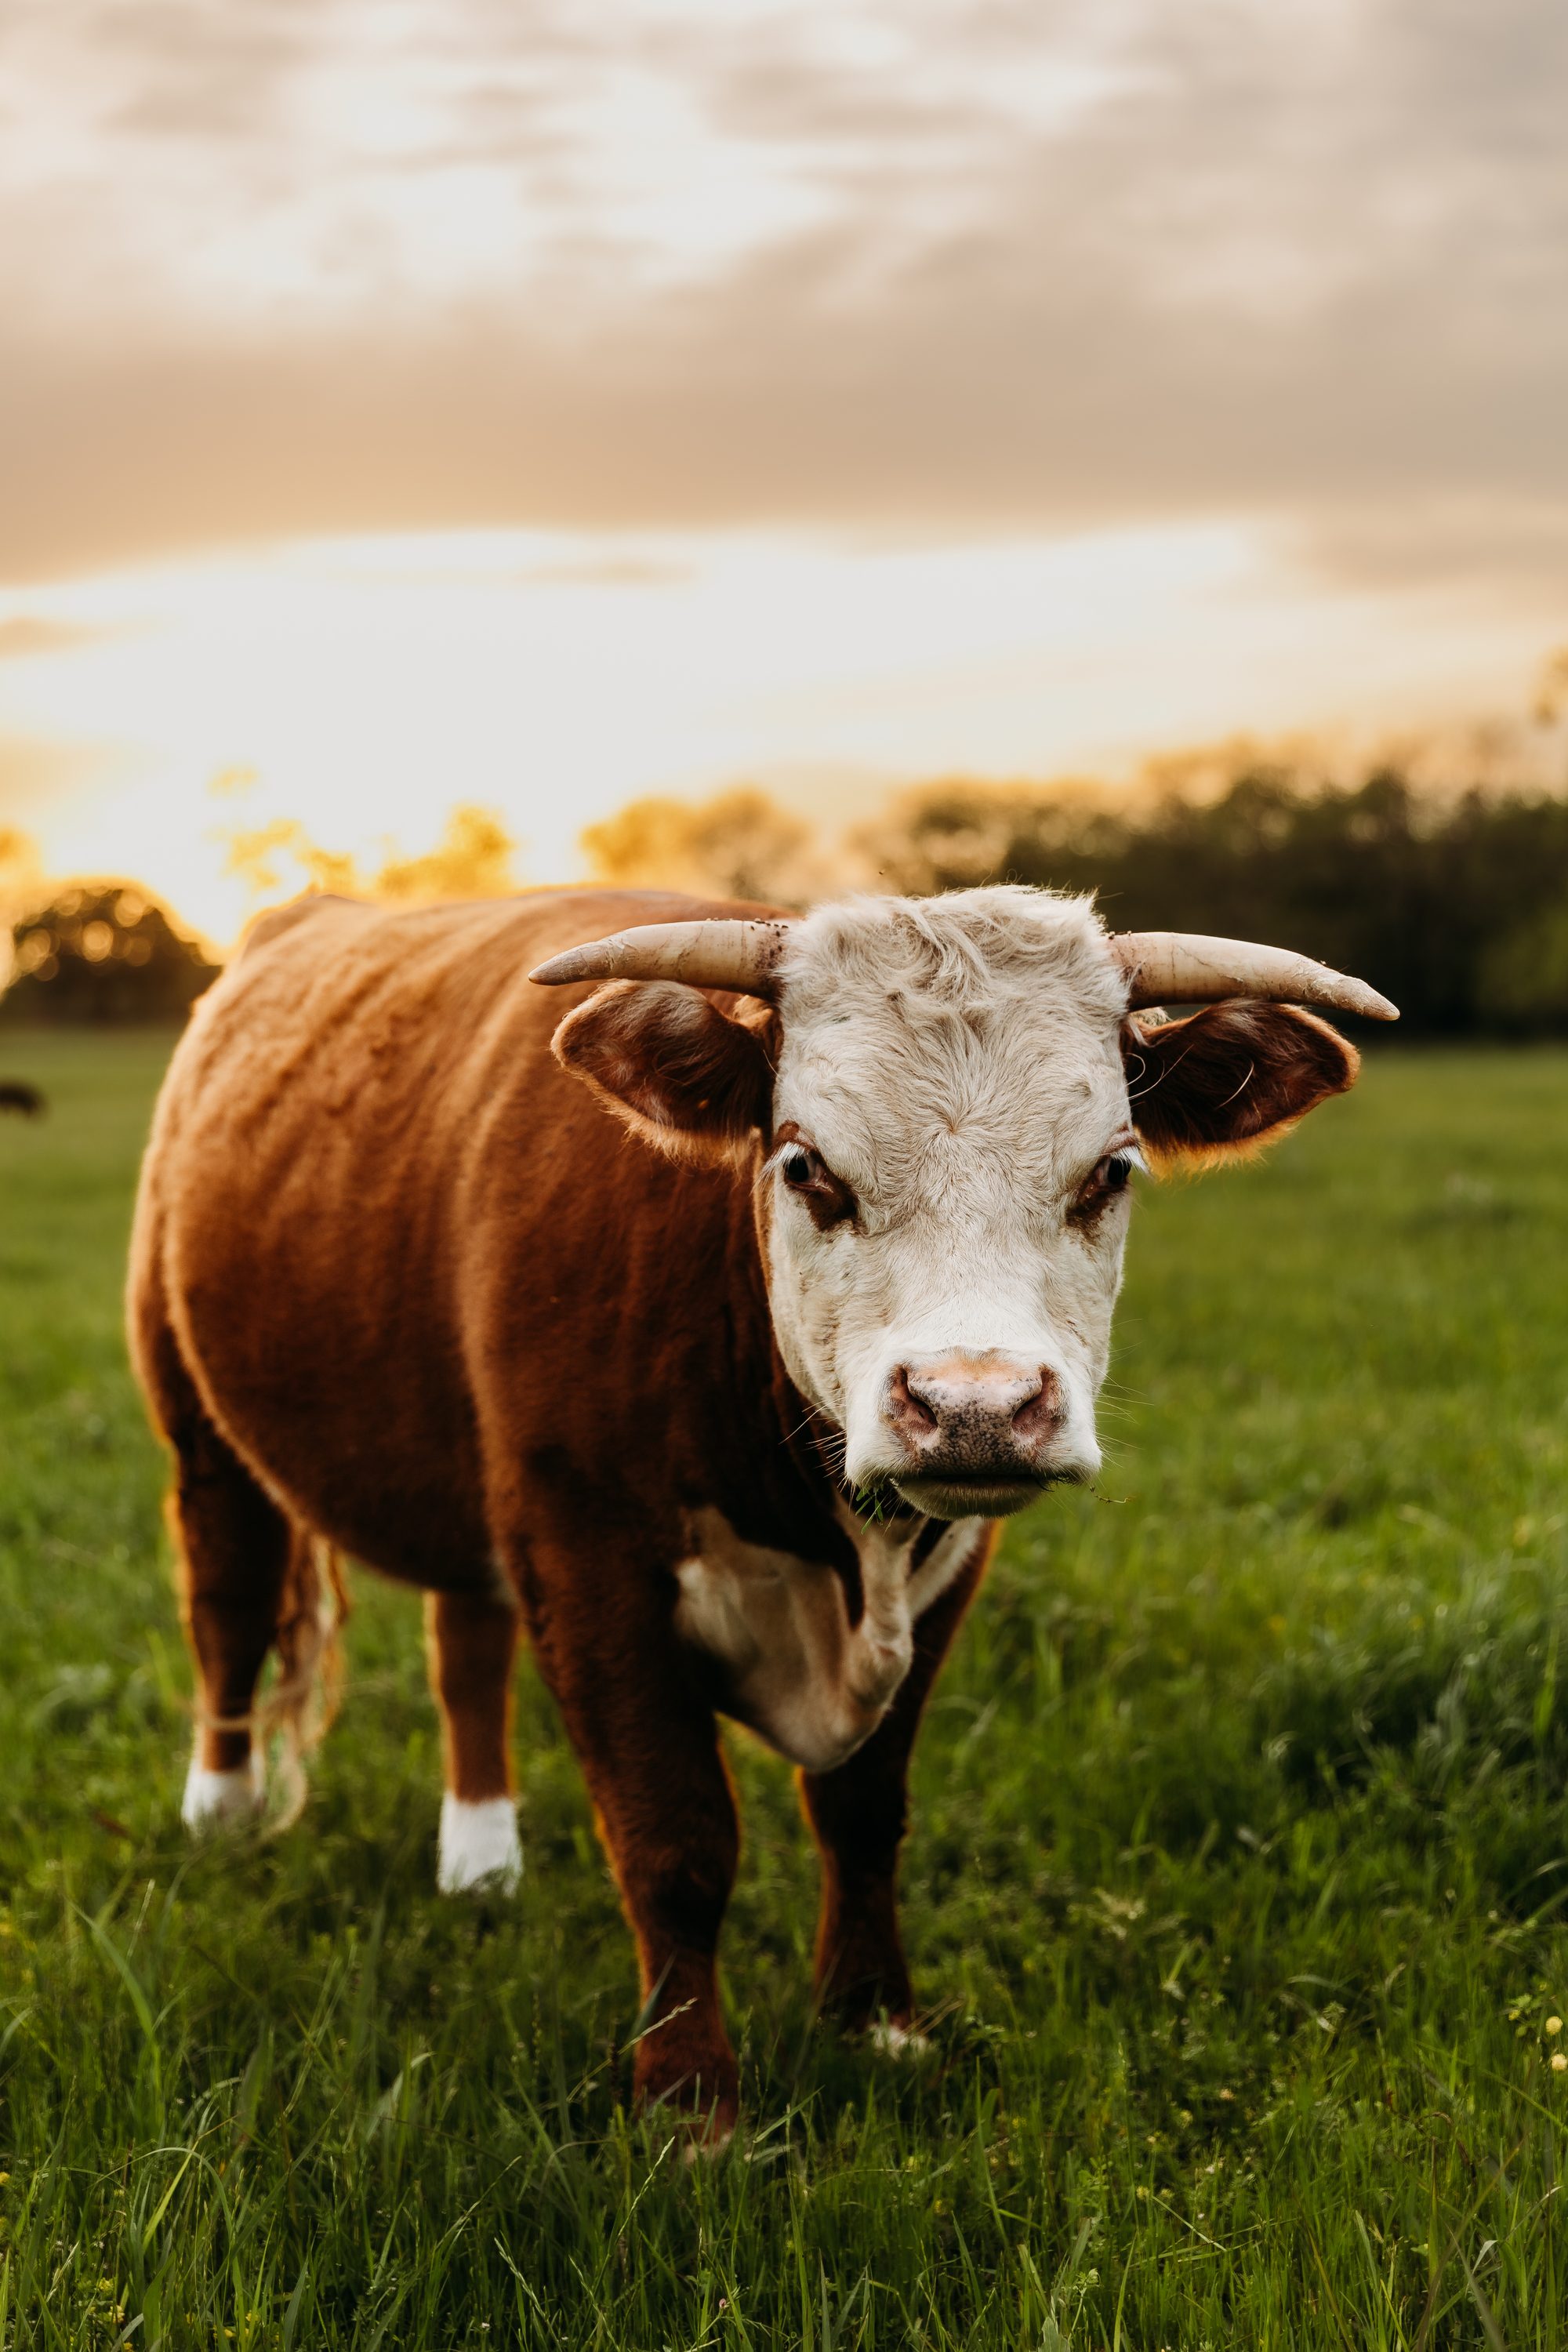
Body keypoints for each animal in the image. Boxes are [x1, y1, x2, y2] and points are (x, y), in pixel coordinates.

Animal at [127, 884, 1394, 2136]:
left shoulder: (944, 1570)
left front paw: (874, 2020)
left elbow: (863, 1810)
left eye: (1110, 1172)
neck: (831, 1545)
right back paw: (221, 1814)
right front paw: (690, 2099)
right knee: (228, 1603)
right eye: (806, 1168)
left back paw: (480, 1861)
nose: (973, 1407)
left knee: (465, 1649)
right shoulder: (586, 1554)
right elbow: (675, 1838)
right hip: (200, 1426)